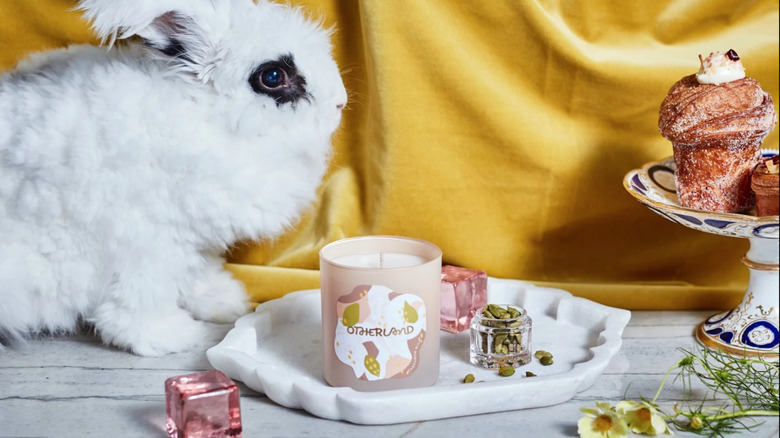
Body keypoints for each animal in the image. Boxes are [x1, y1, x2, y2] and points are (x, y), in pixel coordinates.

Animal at [0, 0, 348, 356]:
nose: (340, 103)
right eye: (273, 76)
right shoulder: (145, 239)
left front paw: (223, 301)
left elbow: (198, 272)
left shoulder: (195, 237)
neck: (207, 114)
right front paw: (167, 335)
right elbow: (143, 293)